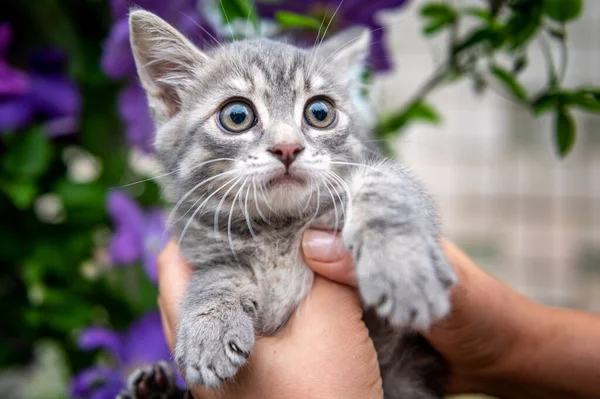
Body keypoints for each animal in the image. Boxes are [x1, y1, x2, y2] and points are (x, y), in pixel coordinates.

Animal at [125, 10, 454, 399]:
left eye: (319, 112)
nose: (287, 147)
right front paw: (209, 328)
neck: (277, 229)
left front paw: (404, 270)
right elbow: (216, 274)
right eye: (237, 115)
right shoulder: (203, 244)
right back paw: (153, 386)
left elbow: (388, 186)